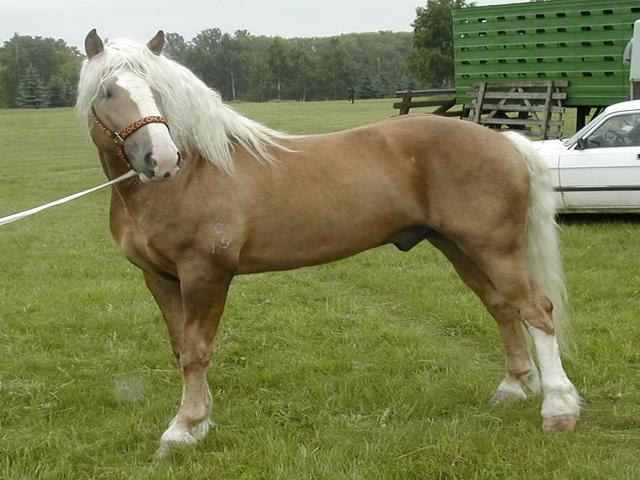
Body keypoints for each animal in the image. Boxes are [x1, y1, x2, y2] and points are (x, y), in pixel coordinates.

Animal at [76, 29, 581, 458]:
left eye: (157, 90)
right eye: (108, 92)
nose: (161, 159)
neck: (193, 174)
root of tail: (506, 141)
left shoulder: (205, 273)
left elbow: (198, 351)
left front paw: (182, 429)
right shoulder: (160, 278)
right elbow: (182, 349)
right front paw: (198, 423)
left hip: (495, 248)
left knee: (536, 310)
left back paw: (558, 409)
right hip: (460, 247)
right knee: (502, 308)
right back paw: (513, 388)